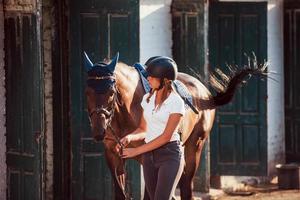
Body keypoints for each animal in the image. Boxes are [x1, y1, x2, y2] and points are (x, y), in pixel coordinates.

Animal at [84, 52, 268, 199]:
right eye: (87, 92)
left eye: (111, 93)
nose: (99, 131)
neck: (128, 109)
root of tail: (205, 94)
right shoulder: (113, 155)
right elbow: (120, 193)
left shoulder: (146, 156)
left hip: (195, 146)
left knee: (186, 185)